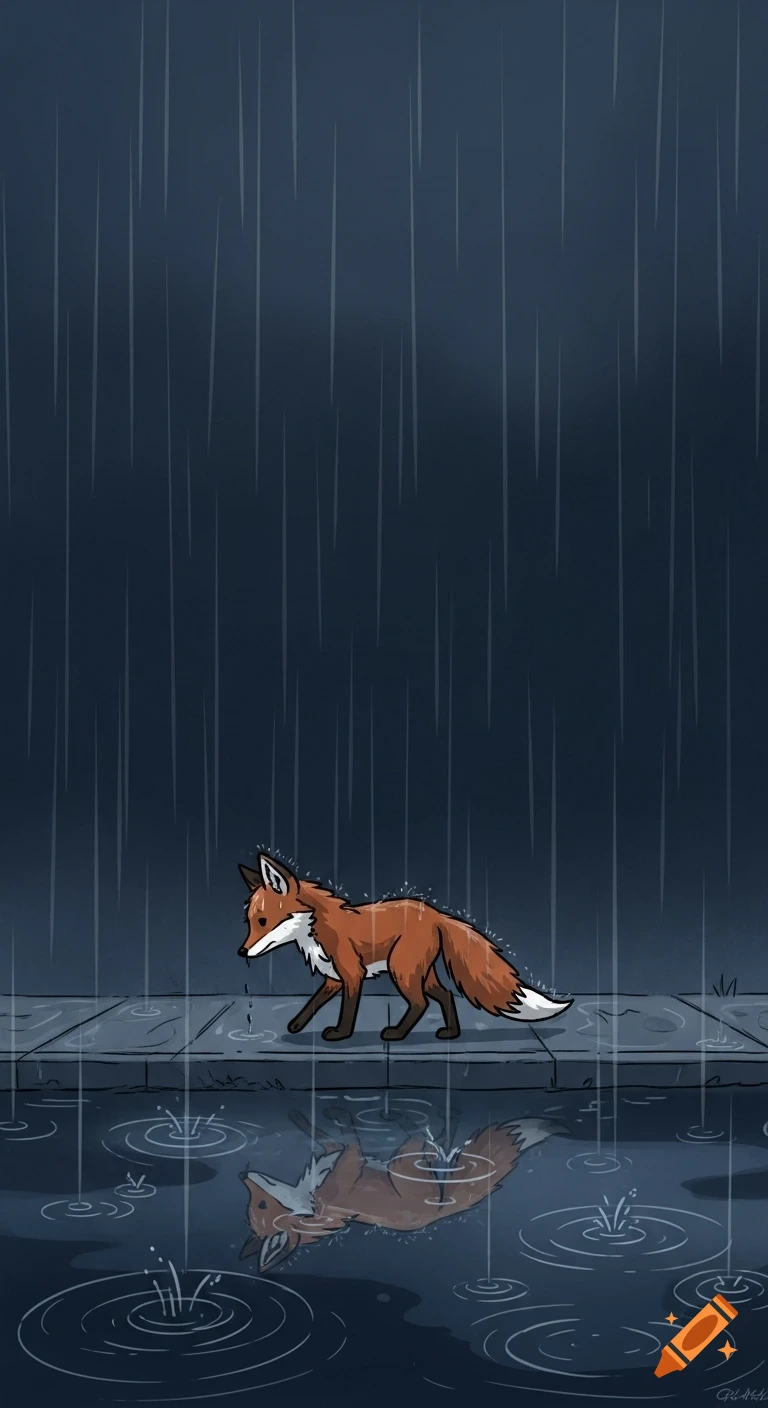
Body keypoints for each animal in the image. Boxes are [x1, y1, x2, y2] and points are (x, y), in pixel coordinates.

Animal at [236, 852, 572, 1042]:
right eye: (250, 922)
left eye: (263, 921)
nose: (241, 953)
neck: (317, 927)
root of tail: (435, 913)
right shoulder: (333, 978)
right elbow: (313, 1003)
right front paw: (296, 1025)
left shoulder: (352, 974)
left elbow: (348, 1010)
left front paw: (341, 1035)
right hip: (420, 972)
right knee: (445, 996)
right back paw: (450, 1033)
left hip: (402, 971)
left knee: (421, 1003)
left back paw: (397, 1034)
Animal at [239, 1111, 566, 1273]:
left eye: (260, 1204)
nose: (243, 1175)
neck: (315, 1203)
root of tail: (441, 1211)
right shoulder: (351, 1161)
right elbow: (345, 1138)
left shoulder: (341, 1158)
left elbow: (328, 1136)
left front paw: (309, 1120)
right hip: (406, 1159)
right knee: (424, 1138)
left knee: (435, 1142)